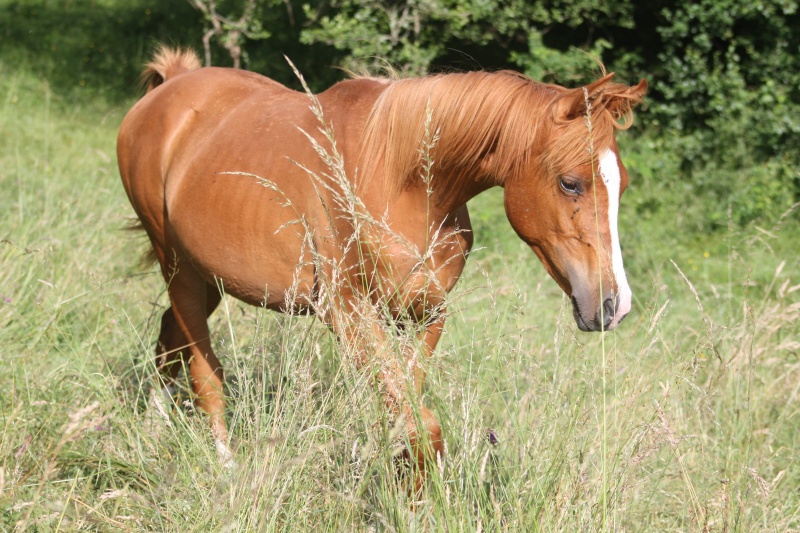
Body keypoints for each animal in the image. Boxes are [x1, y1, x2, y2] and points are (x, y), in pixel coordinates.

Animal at [117, 45, 644, 486]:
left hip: (207, 278)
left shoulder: (427, 311)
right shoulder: (348, 313)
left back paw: (152, 429)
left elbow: (405, 405)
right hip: (179, 269)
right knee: (203, 370)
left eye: (621, 184)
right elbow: (419, 423)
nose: (613, 305)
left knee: (169, 338)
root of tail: (171, 87)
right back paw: (225, 465)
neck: (399, 176)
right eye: (570, 183)